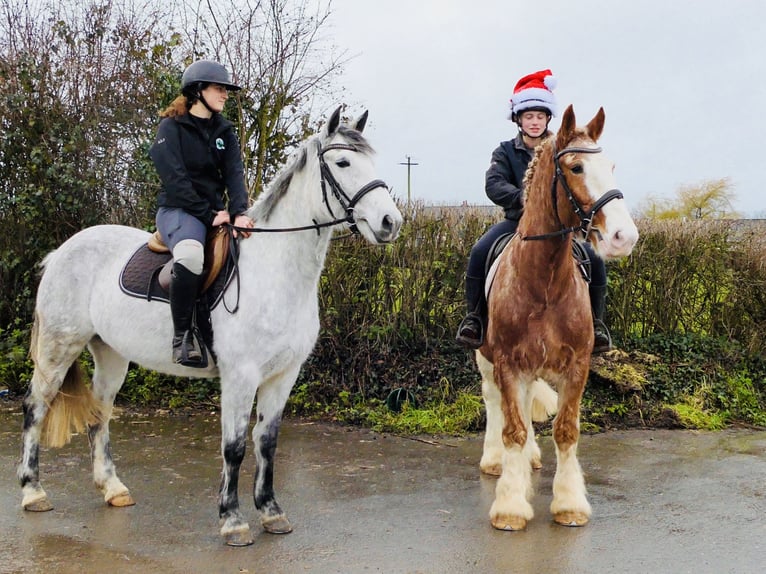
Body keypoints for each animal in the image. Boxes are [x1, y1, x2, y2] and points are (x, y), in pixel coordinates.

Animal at [17, 106, 403, 546]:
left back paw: (112, 489)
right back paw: (33, 491)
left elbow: (267, 443)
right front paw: (233, 520)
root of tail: (63, 250)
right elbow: (234, 446)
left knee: (101, 411)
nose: (390, 222)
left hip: (111, 354)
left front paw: (271, 512)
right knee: (35, 406)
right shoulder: (241, 375)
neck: (275, 271)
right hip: (58, 347)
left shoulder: (283, 375)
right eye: (342, 163)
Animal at [476, 105, 639, 531]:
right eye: (576, 167)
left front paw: (569, 504)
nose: (624, 237)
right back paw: (494, 460)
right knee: (494, 401)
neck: (545, 278)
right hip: (485, 358)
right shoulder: (507, 361)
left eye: (611, 166)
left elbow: (565, 431)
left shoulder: (577, 363)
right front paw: (510, 506)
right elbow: (513, 429)